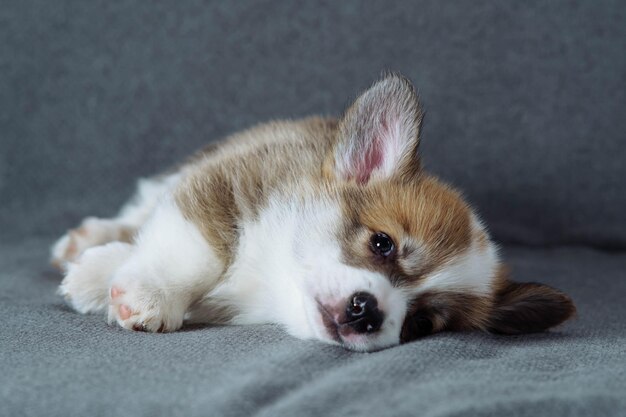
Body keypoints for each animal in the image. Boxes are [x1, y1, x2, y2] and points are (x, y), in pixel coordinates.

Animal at [51, 73, 572, 350]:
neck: (275, 276)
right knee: (143, 207)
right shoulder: (223, 182)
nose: (367, 312)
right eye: (381, 243)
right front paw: (147, 292)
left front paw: (102, 278)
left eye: (423, 323)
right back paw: (87, 242)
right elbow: (197, 252)